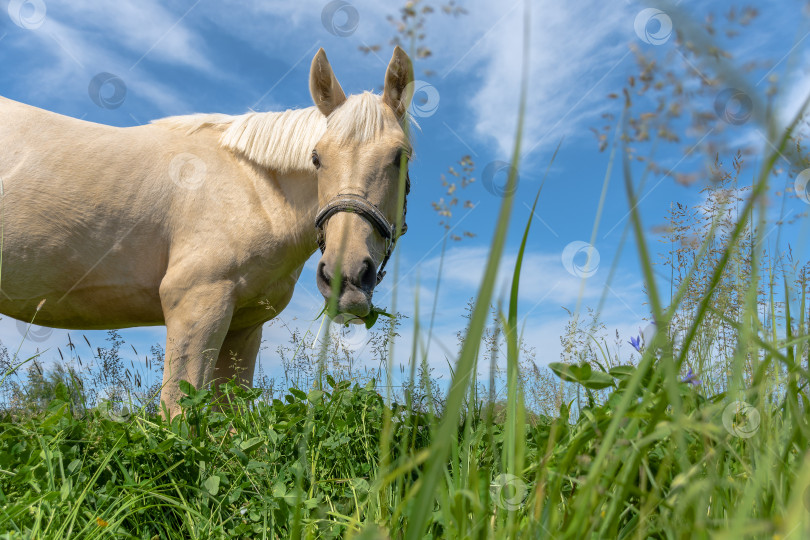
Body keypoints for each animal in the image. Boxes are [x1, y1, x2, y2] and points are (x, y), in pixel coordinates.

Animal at [0, 47, 414, 418]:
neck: (252, 187)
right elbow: (178, 415)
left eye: (400, 156)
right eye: (317, 158)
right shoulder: (195, 303)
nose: (347, 278)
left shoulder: (244, 326)